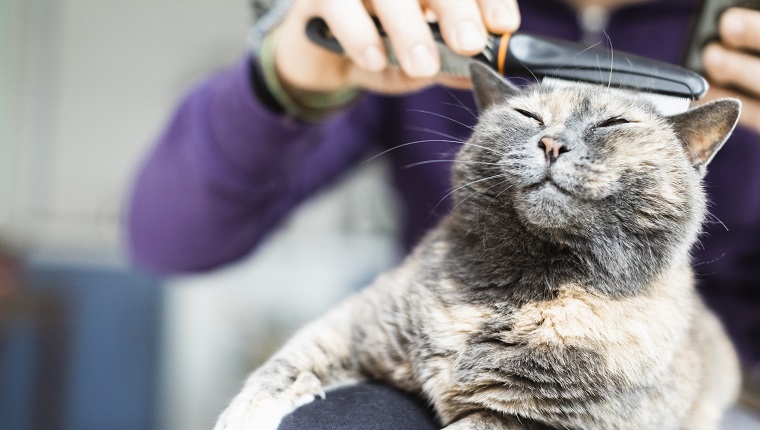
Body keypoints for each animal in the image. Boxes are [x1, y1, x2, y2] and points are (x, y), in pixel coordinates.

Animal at [214, 63, 744, 430]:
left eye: (614, 123)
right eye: (528, 115)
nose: (552, 143)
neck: (517, 287)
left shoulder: (528, 421)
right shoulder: (354, 324)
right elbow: (282, 367)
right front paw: (248, 413)